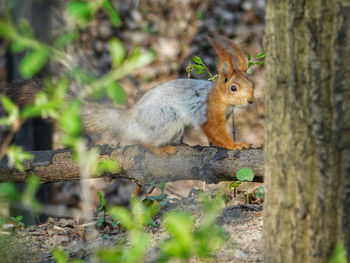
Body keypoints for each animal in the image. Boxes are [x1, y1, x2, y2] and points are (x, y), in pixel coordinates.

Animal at [0, 36, 253, 156]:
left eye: (252, 83)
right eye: (233, 88)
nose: (251, 101)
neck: (221, 99)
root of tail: (132, 119)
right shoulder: (207, 111)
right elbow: (215, 131)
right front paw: (235, 145)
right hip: (165, 121)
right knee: (143, 141)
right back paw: (162, 149)